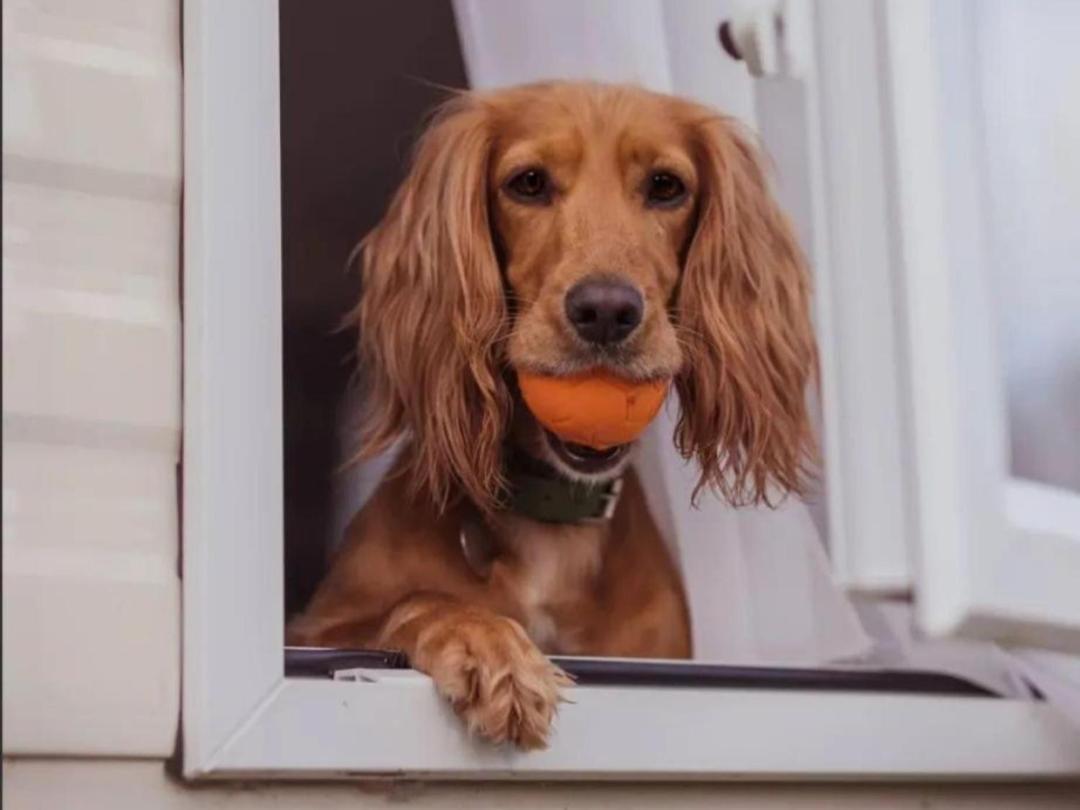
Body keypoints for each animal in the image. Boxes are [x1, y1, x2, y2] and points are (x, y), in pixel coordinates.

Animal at [287, 81, 816, 747]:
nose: (607, 310)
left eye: (666, 186)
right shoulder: (314, 631)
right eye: (529, 183)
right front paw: (492, 649)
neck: (552, 521)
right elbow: (421, 601)